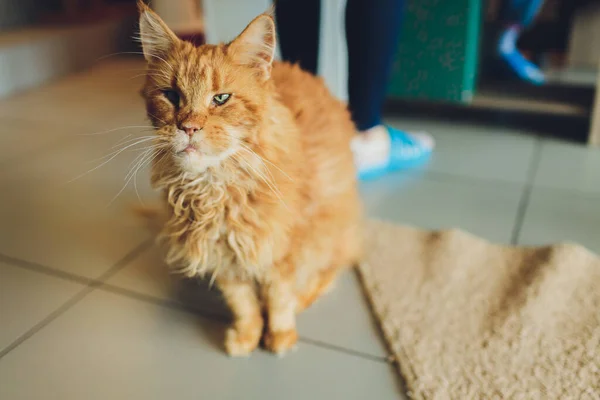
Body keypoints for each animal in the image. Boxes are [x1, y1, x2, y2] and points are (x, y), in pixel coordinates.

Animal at [139, 1, 364, 354]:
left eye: (220, 99)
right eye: (171, 96)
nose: (188, 127)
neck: (215, 189)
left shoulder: (283, 249)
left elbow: (278, 297)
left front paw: (279, 335)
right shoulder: (222, 255)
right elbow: (242, 302)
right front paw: (247, 334)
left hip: (327, 232)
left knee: (326, 273)